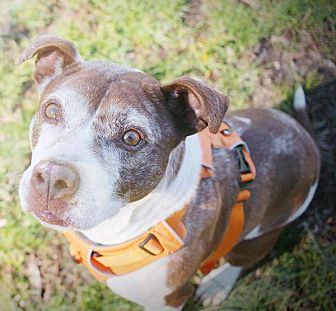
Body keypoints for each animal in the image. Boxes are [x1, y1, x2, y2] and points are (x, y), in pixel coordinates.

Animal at [19, 36, 320, 310]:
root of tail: (305, 137)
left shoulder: (170, 297)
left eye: (132, 137)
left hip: (268, 226)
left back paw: (217, 284)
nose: (52, 178)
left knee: (245, 257)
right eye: (52, 110)